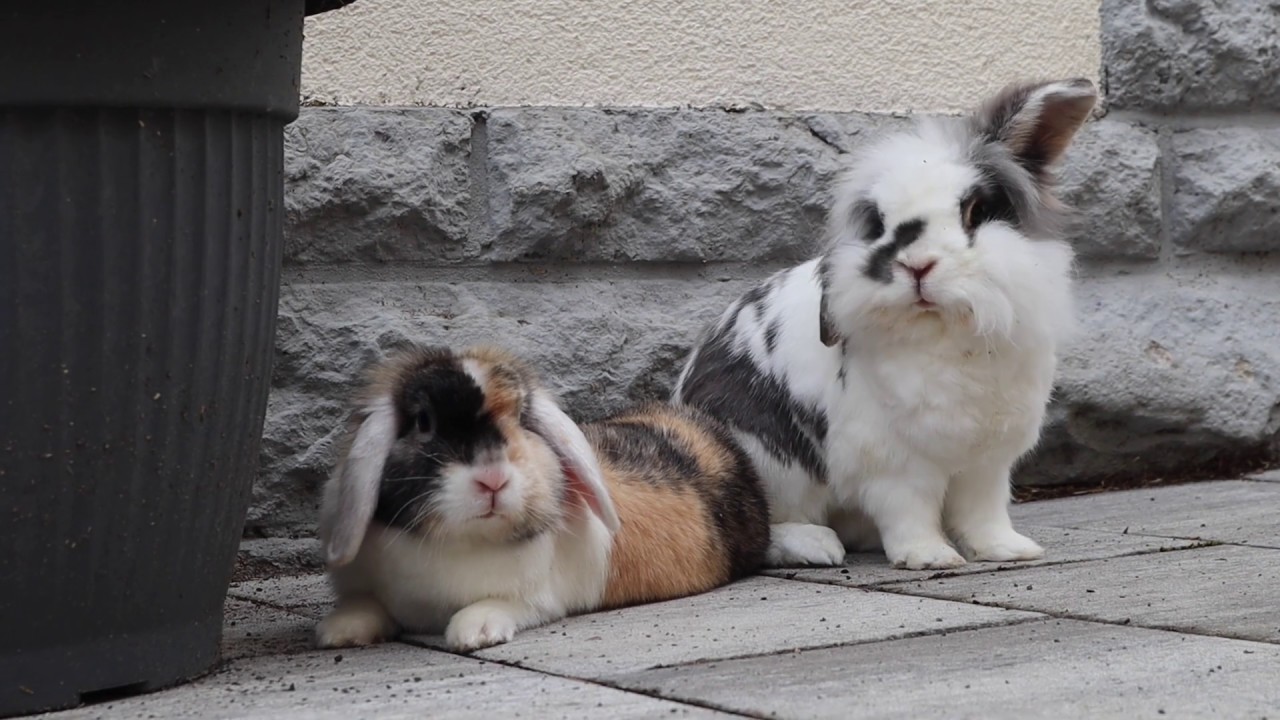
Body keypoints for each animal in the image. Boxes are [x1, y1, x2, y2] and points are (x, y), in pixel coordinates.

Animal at [314, 344, 770, 652]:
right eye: (424, 422)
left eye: (519, 417)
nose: (493, 480)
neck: (462, 542)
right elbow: (365, 603)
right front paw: (339, 632)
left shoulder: (537, 599)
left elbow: (497, 605)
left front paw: (473, 633)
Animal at [673, 78, 1098, 571]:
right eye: (878, 224)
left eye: (974, 212)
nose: (917, 266)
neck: (947, 332)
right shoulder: (895, 465)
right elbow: (909, 513)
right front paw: (930, 557)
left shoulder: (986, 464)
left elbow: (984, 512)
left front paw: (1008, 550)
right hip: (768, 464)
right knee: (758, 531)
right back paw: (817, 546)